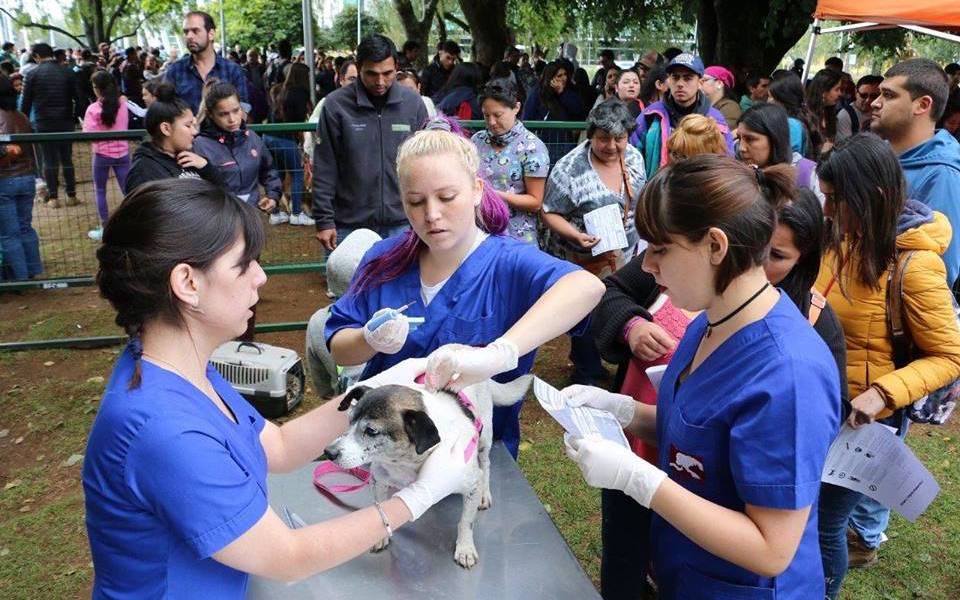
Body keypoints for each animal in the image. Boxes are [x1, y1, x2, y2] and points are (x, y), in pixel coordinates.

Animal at [322, 370, 532, 568]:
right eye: (349, 421)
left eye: (371, 431)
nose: (328, 452)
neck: (407, 462)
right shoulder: (378, 481)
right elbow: (379, 507)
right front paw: (380, 536)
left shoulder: (471, 484)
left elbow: (466, 522)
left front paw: (465, 548)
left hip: (484, 437)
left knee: (486, 464)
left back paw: (485, 493)